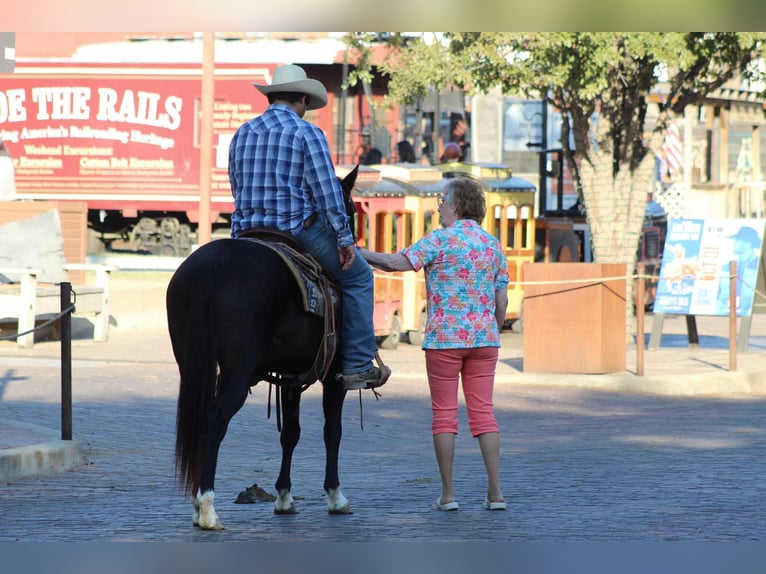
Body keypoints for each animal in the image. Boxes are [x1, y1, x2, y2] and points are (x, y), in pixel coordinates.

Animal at [167, 167, 359, 530]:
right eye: (352, 210)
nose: (350, 250)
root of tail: (209, 266)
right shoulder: (334, 374)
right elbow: (333, 431)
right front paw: (336, 496)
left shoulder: (292, 375)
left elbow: (291, 433)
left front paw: (284, 497)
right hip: (238, 371)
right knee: (215, 420)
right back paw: (207, 508)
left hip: (191, 363)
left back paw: (198, 507)